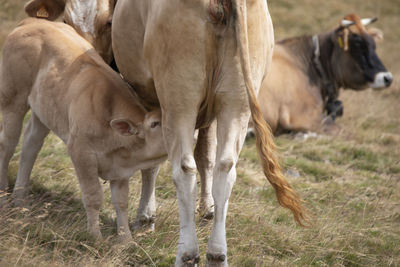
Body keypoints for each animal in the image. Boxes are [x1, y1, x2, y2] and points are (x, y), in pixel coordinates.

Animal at [111, 0, 306, 266]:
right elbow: (206, 156)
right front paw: (208, 210)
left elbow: (151, 163)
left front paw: (145, 218)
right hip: (237, 100)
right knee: (225, 167)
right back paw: (216, 254)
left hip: (179, 96)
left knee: (184, 168)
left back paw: (187, 253)